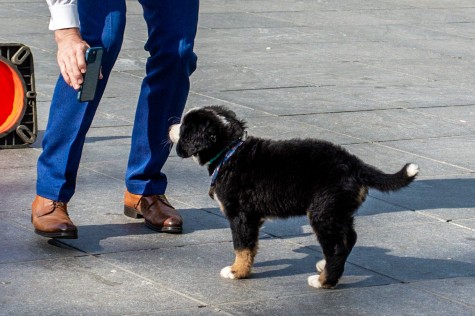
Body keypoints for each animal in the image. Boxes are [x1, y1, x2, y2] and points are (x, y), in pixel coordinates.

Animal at [169, 106, 418, 288]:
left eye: (185, 127)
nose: (170, 125)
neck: (229, 152)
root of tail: (354, 164)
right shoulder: (253, 218)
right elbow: (251, 246)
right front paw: (244, 268)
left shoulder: (241, 215)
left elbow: (241, 246)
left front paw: (236, 271)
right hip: (338, 211)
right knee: (349, 238)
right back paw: (324, 266)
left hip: (323, 212)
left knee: (337, 245)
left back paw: (324, 281)